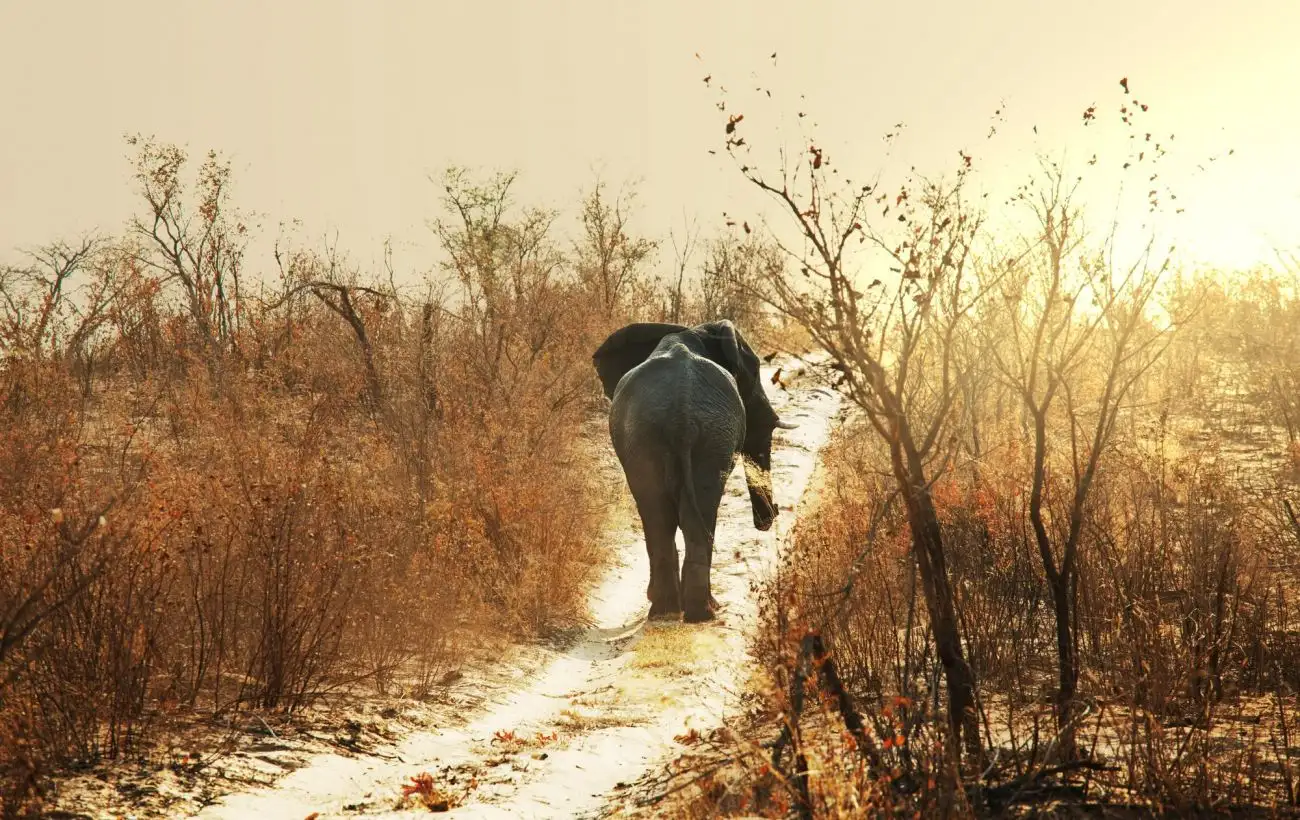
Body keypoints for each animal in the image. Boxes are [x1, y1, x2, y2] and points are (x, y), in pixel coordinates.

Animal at [595, 320, 795, 621]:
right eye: (755, 372)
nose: (773, 515)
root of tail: (681, 415)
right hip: (693, 436)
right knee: (685, 514)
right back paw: (698, 611)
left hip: (679, 437)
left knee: (665, 514)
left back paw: (672, 611)